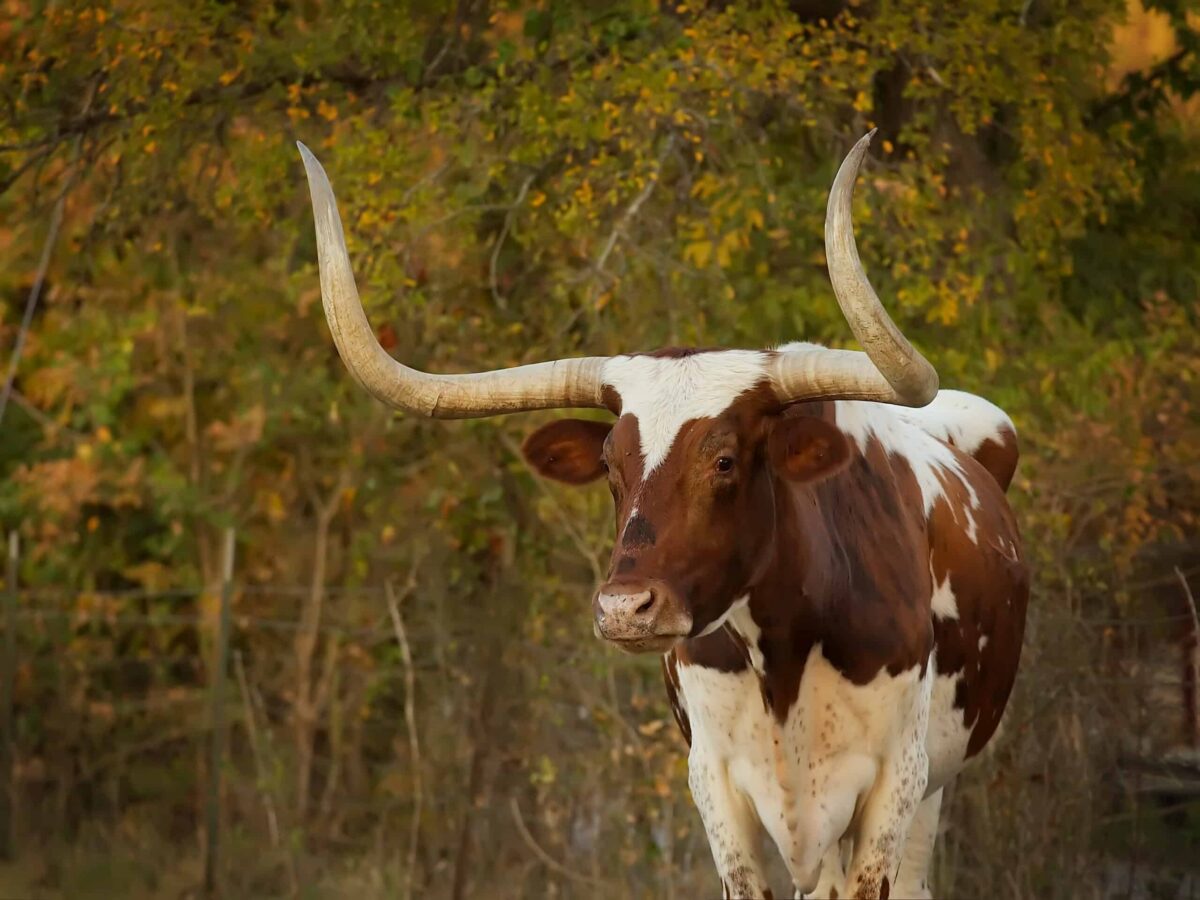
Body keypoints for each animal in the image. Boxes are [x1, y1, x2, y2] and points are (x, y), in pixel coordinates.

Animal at [297, 131, 1029, 900]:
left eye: (726, 460)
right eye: (610, 466)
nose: (625, 608)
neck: (787, 653)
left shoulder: (895, 784)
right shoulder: (717, 786)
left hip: (929, 791)